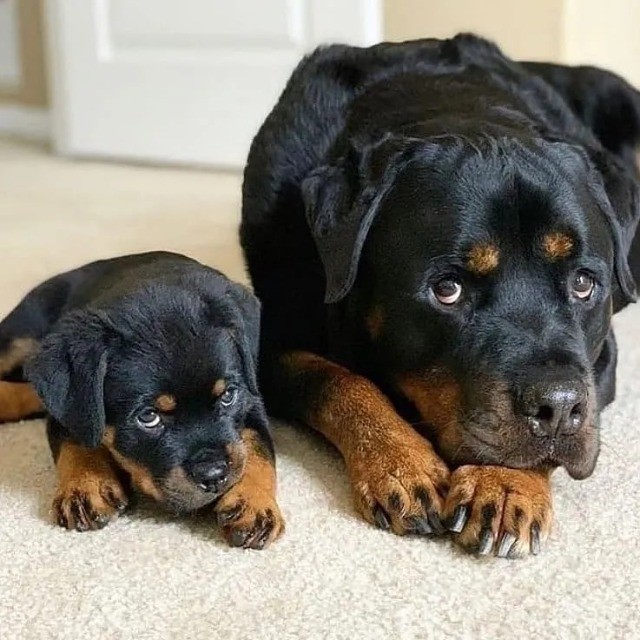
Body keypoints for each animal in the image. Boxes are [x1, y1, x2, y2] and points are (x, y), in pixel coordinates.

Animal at [0, 252, 284, 548]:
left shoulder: (250, 397)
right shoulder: (70, 403)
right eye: (148, 417)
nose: (214, 475)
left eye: (227, 396)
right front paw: (85, 486)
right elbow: (78, 436)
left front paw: (253, 503)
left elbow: (257, 446)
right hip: (20, 334)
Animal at [240, 33, 640, 556]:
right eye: (447, 290)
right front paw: (400, 463)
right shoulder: (271, 341)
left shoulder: (600, 356)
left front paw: (505, 483)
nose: (557, 408)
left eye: (583, 283)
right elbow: (337, 379)